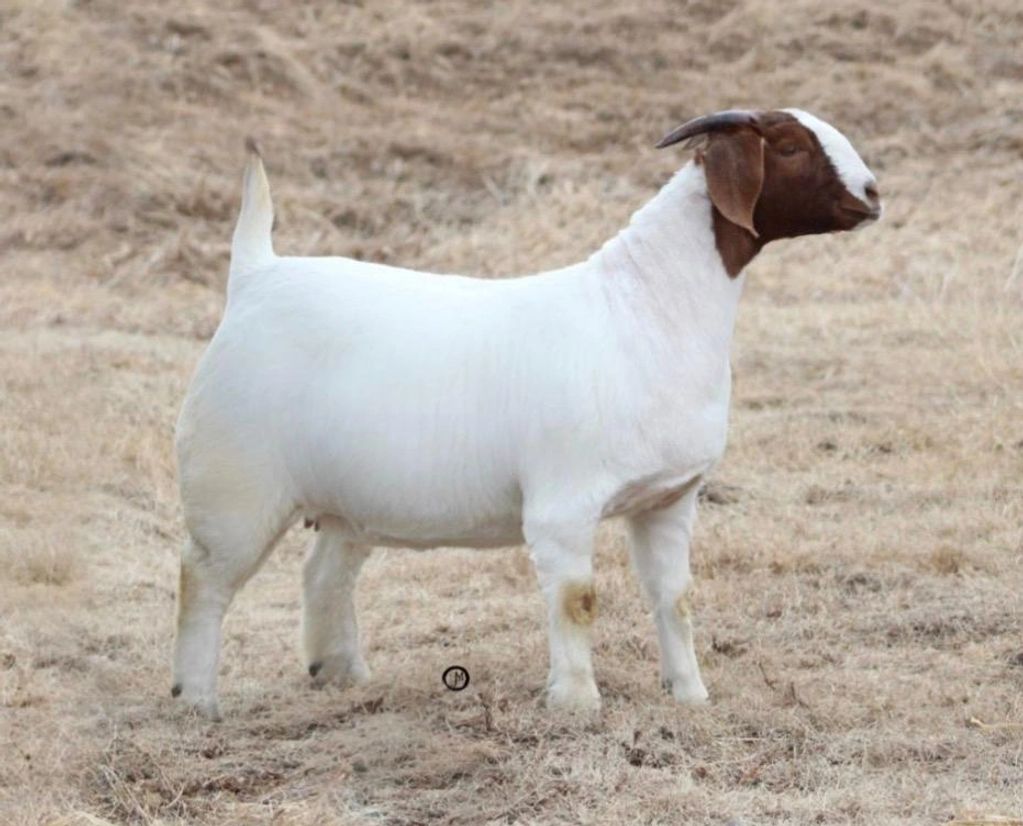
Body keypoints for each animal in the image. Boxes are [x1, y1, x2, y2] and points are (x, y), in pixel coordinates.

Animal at [172, 109, 881, 719]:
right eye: (788, 146)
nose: (873, 194)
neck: (643, 309)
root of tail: (257, 276)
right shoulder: (563, 506)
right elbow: (577, 601)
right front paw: (578, 704)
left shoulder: (668, 499)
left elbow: (675, 597)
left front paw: (690, 695)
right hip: (234, 485)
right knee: (202, 578)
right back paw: (197, 700)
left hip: (347, 500)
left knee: (324, 574)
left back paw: (340, 673)